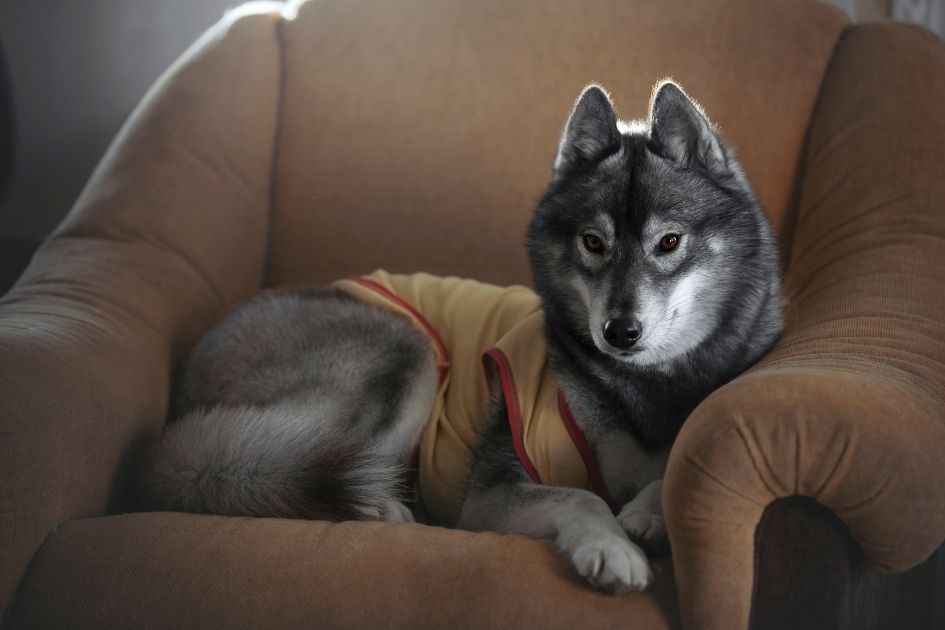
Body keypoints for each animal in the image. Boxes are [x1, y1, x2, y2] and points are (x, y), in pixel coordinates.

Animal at [144, 82, 780, 596]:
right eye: (593, 243)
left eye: (669, 242)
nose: (619, 333)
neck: (644, 387)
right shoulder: (489, 493)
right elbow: (581, 495)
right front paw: (610, 548)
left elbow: (668, 470)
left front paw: (648, 513)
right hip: (405, 354)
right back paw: (375, 506)